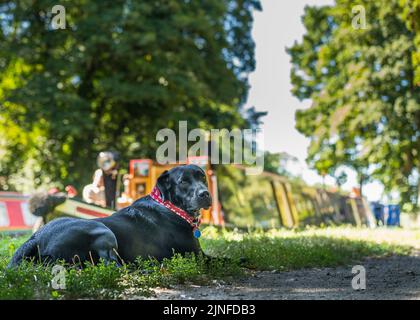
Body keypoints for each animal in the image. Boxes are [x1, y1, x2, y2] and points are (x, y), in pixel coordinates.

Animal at [9, 165, 213, 268]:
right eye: (183, 181)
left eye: (202, 177)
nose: (205, 194)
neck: (170, 206)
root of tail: (36, 237)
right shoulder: (198, 256)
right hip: (103, 231)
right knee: (112, 265)